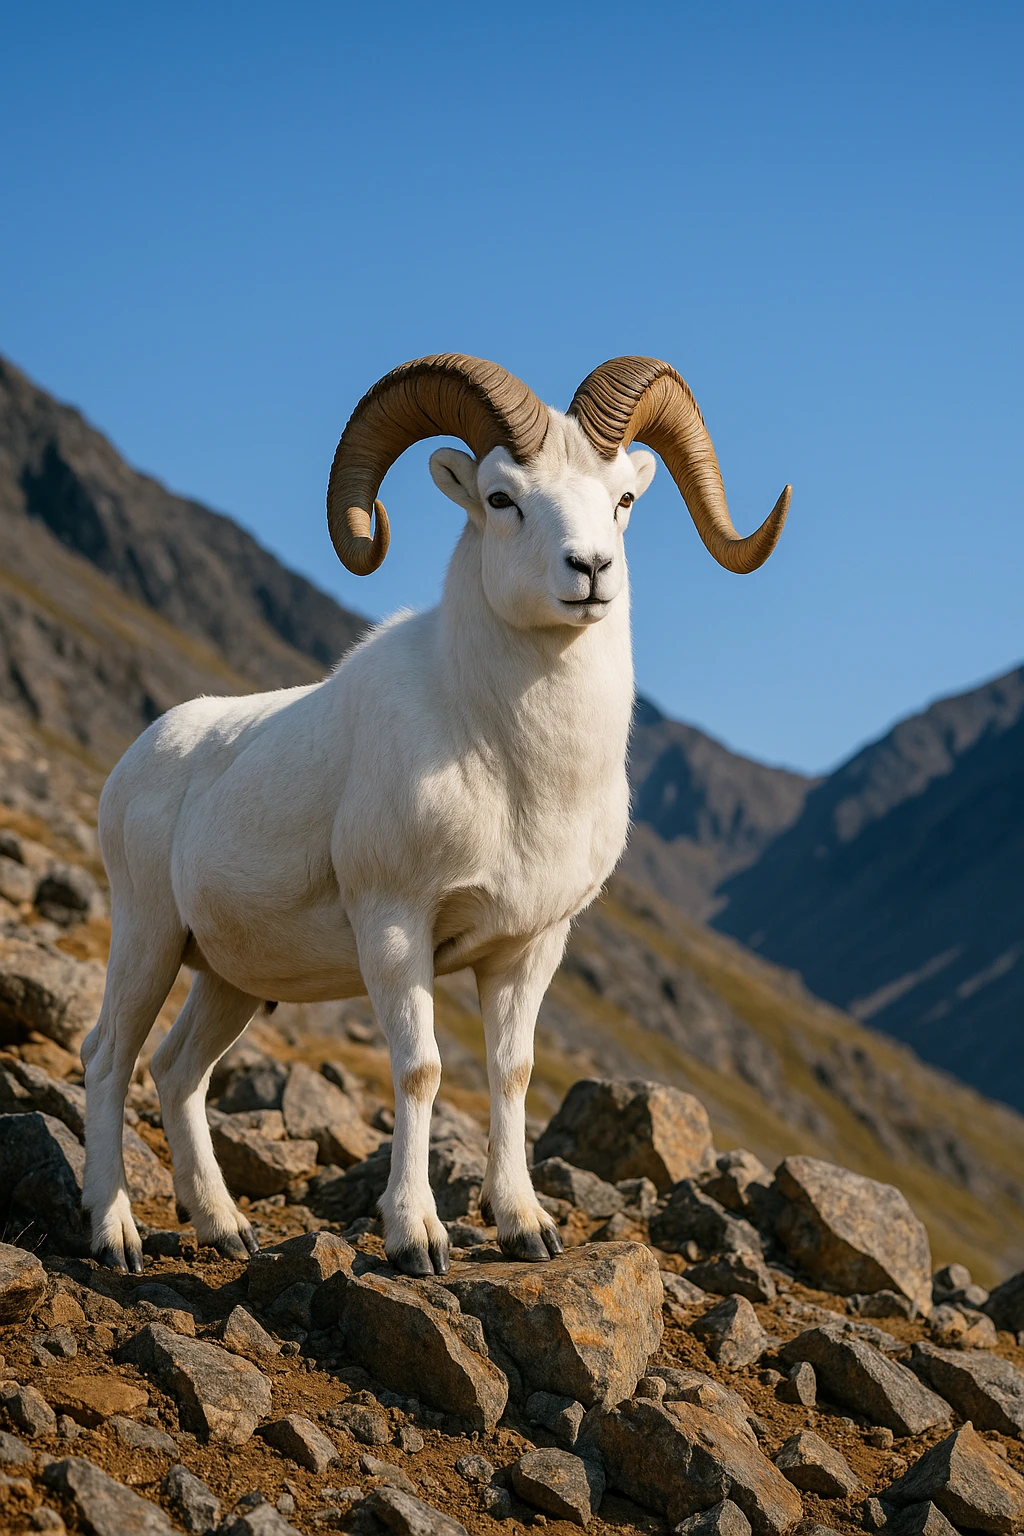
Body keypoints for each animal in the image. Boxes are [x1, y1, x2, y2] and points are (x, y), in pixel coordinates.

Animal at [81, 354, 790, 1276]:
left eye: (624, 499)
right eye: (502, 497)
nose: (590, 569)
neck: (517, 771)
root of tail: (141, 757)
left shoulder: (528, 947)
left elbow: (512, 1072)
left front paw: (526, 1229)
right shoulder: (396, 924)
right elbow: (420, 1069)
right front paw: (416, 1237)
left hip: (230, 980)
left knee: (175, 1072)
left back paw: (225, 1229)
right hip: (148, 938)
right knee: (108, 1057)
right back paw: (114, 1237)